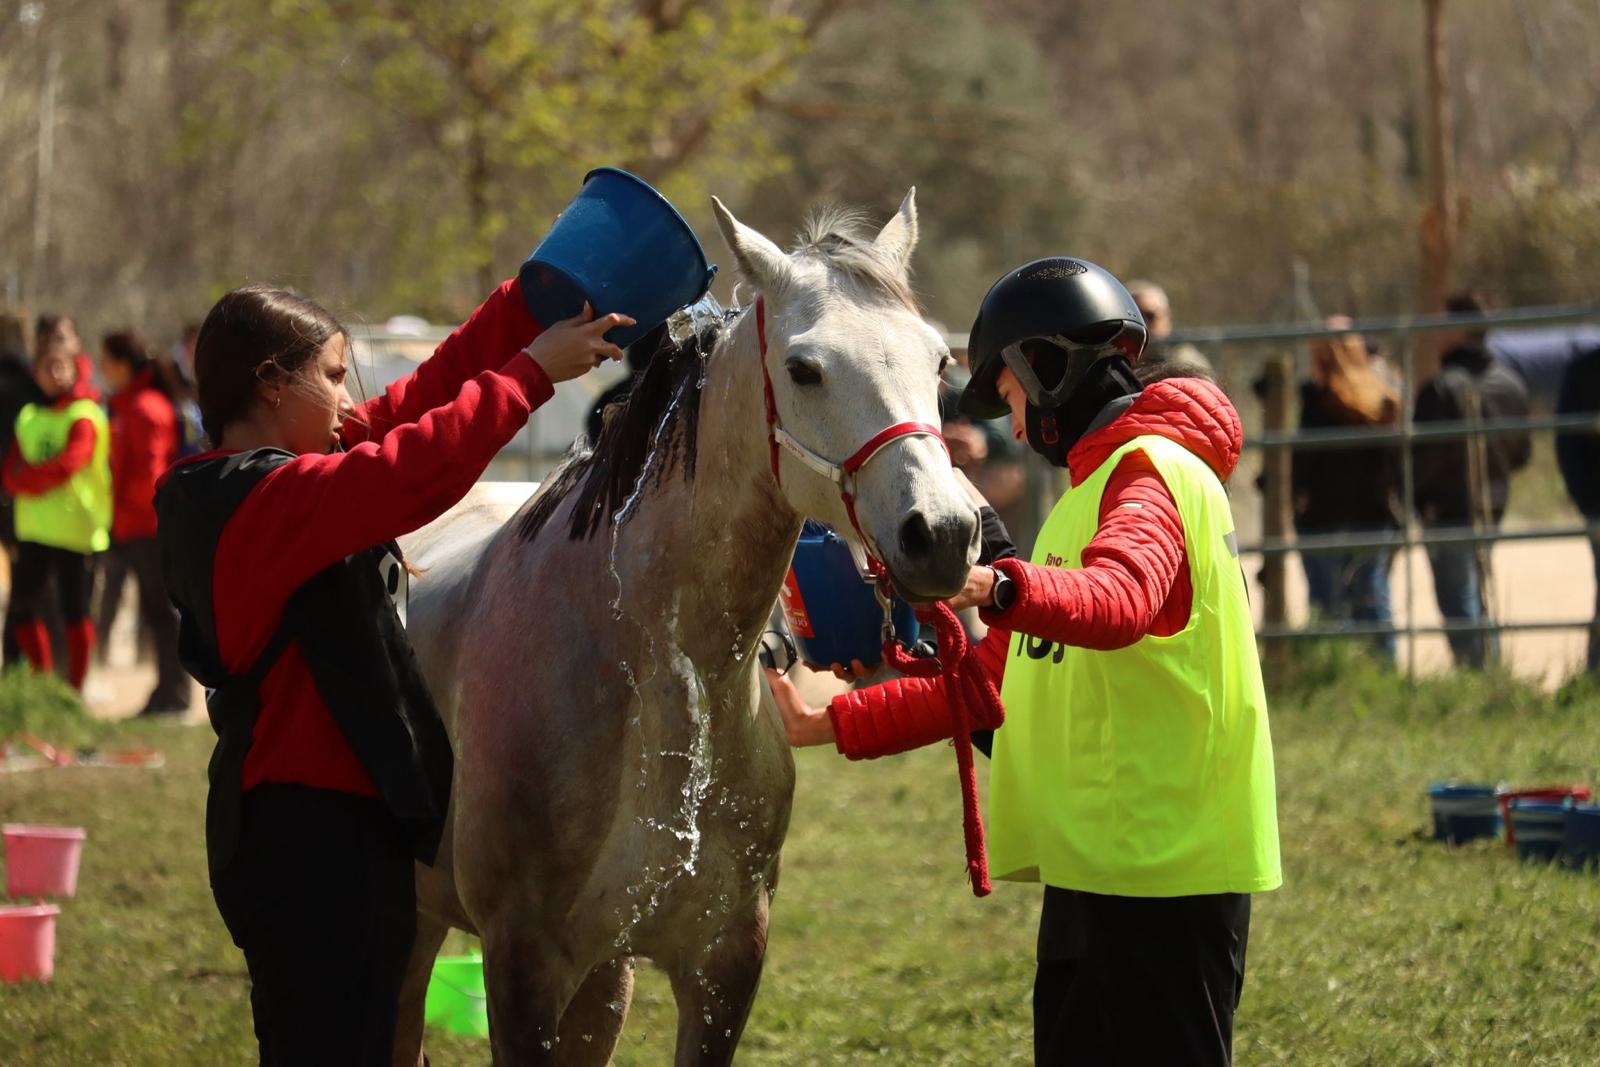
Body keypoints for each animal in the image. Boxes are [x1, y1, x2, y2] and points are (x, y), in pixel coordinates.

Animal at [392, 190, 980, 1065]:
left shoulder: (721, 965)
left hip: (602, 979)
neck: (655, 681)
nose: (941, 533)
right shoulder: (521, 963)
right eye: (804, 369)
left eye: (940, 363)